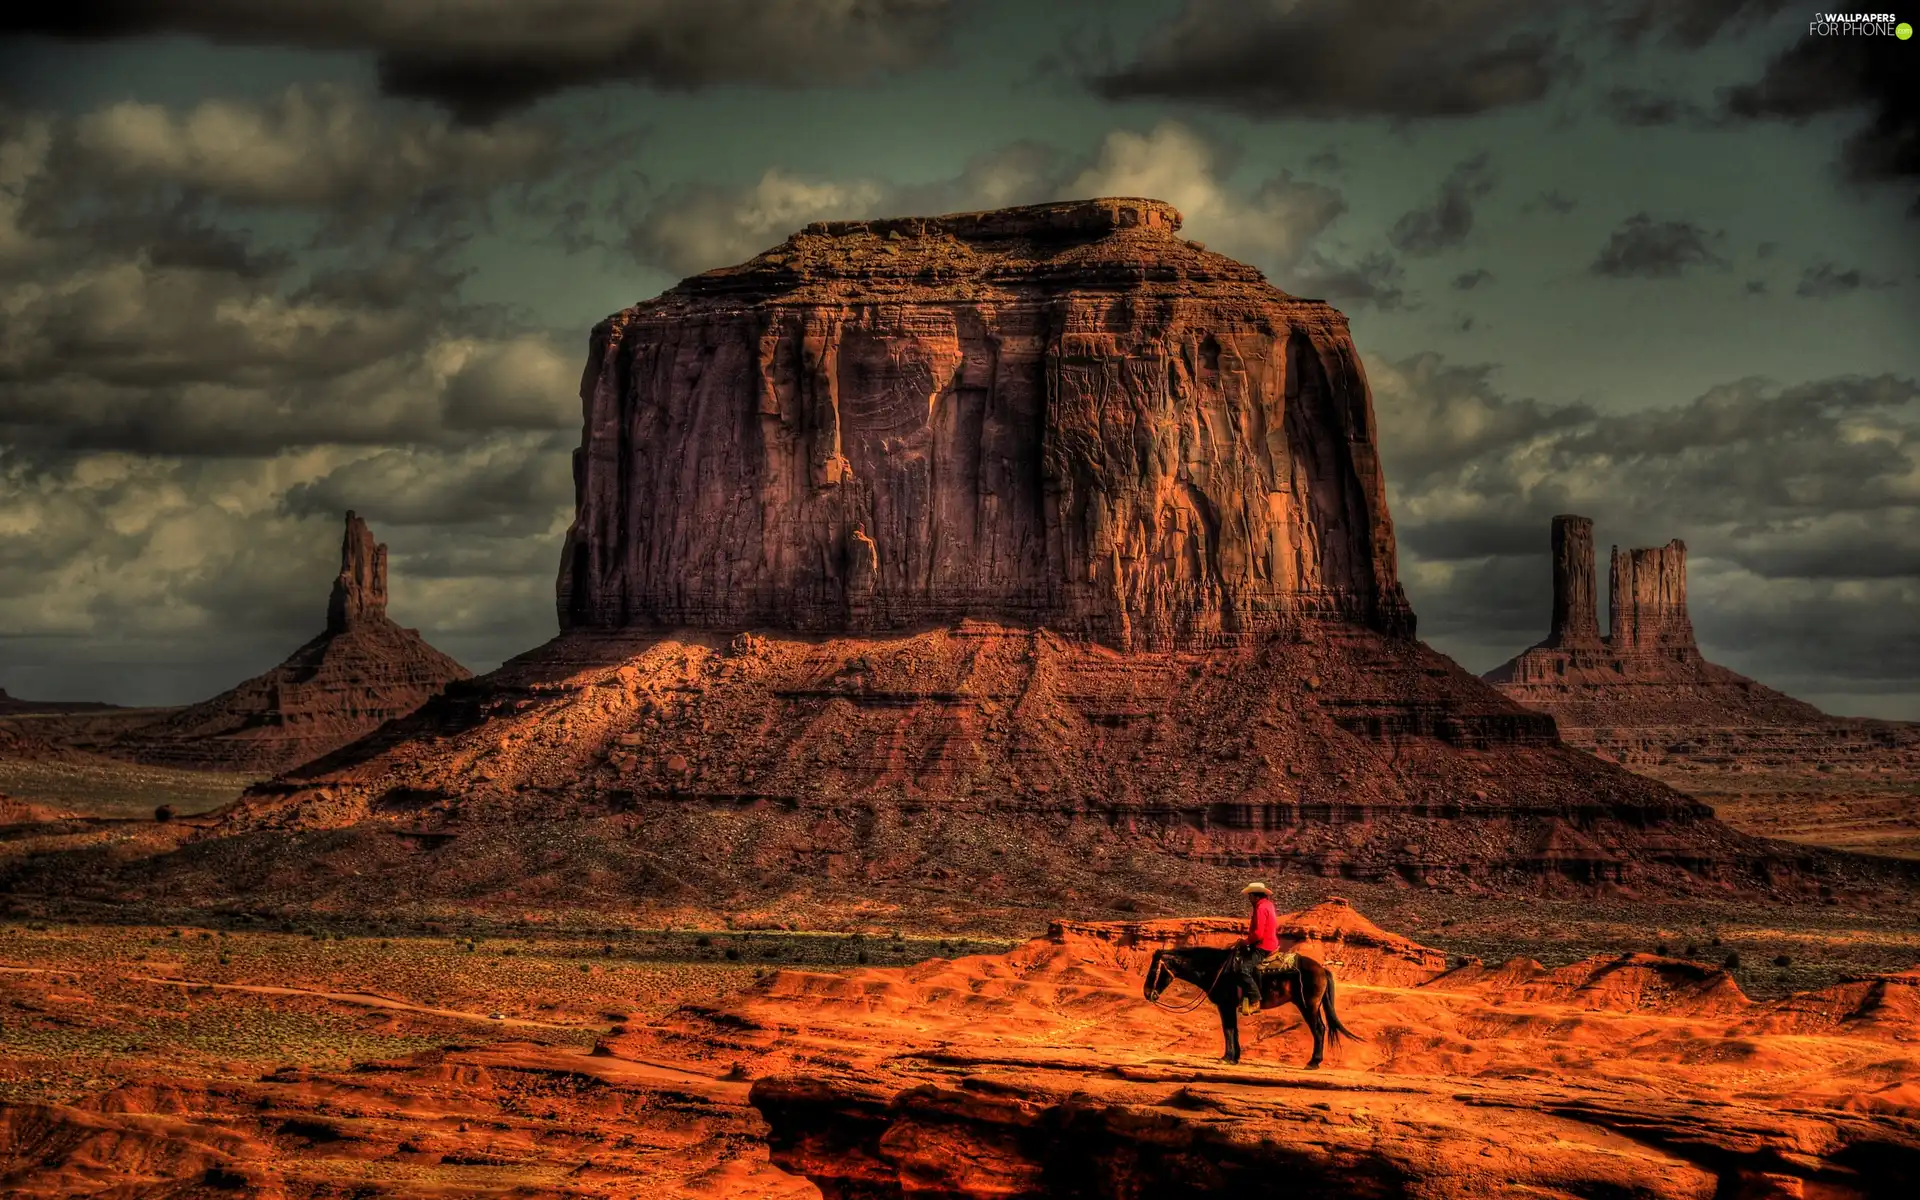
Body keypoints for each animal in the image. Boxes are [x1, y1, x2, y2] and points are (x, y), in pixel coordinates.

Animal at [1144, 944, 1359, 1067]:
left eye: (1154, 970)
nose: (1147, 993)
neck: (1216, 968)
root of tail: (1322, 968)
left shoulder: (1225, 1005)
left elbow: (1228, 1029)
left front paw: (1227, 1057)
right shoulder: (1230, 1006)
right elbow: (1234, 1030)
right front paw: (1235, 1057)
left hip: (1309, 1006)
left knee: (1319, 1029)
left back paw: (1314, 1062)